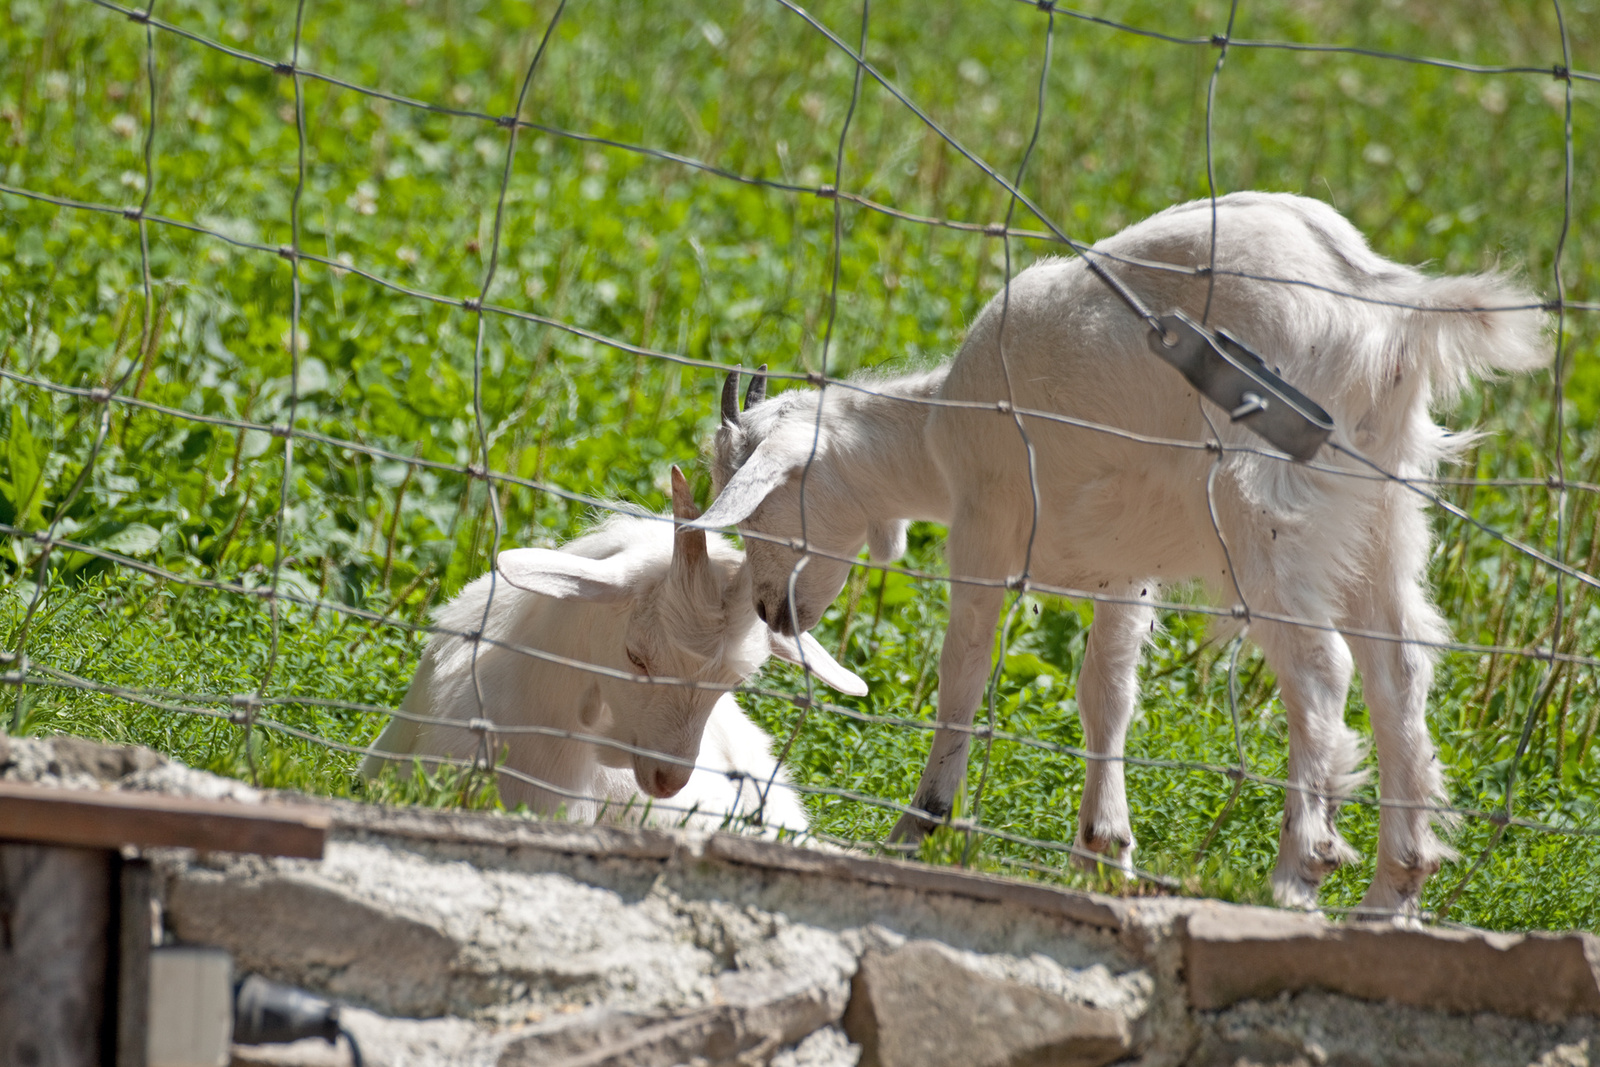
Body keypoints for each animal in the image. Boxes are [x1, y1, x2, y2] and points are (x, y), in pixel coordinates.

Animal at [704, 191, 1548, 908]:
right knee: (1399, 664)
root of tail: (1384, 304)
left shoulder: (985, 530)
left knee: (1321, 666)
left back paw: (1297, 869)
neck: (939, 429)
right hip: (1383, 507)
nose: (770, 609)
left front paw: (920, 824)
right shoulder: (1126, 570)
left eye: (760, 501)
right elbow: (1105, 691)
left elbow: (963, 673)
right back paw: (1394, 887)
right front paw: (1103, 850)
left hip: (1264, 502)